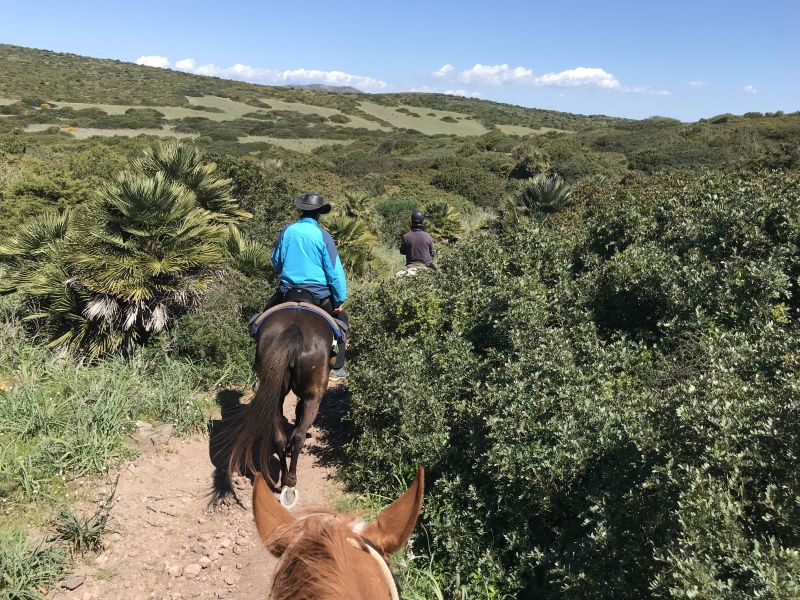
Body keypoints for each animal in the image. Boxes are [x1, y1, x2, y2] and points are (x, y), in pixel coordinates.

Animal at [228, 308, 334, 500]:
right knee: (299, 435)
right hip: (314, 396)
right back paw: (291, 479)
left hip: (274, 393)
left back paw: (284, 477)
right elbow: (299, 411)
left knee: (279, 438)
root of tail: (294, 328)